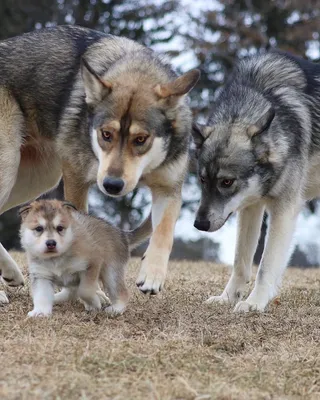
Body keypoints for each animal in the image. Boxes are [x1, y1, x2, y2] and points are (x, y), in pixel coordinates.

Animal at [20, 199, 150, 316]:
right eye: (39, 228)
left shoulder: (92, 264)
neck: (56, 259)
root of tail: (122, 233)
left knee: (122, 292)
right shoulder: (41, 275)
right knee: (71, 293)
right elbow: (41, 296)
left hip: (111, 272)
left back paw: (116, 309)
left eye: (60, 228)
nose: (51, 243)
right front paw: (40, 312)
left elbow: (85, 290)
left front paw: (95, 304)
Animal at [192, 50, 320, 312]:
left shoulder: (284, 211)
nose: (199, 224)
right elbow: (240, 262)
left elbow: (266, 266)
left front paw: (254, 303)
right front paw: (228, 298)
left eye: (226, 182)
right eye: (202, 179)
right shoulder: (251, 207)